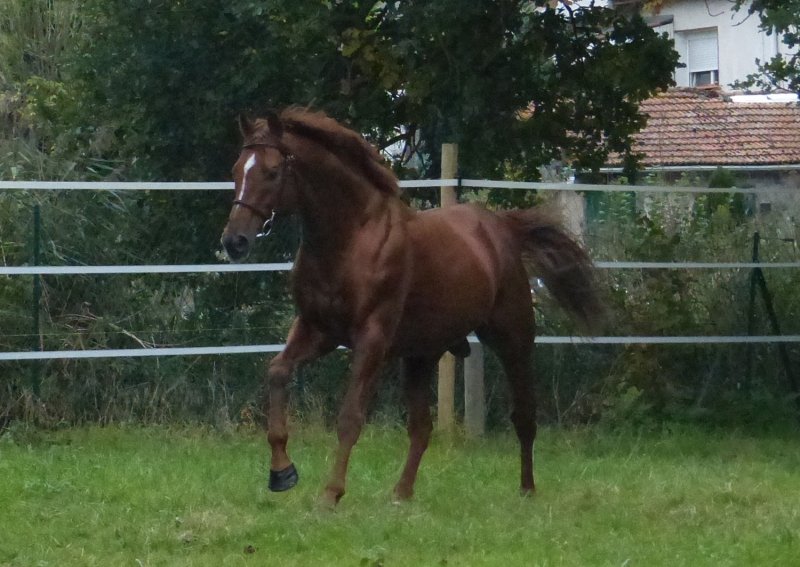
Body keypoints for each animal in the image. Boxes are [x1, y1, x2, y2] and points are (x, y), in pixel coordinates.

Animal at [221, 108, 602, 507]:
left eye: (272, 171)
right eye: (236, 169)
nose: (234, 242)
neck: (350, 239)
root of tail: (502, 227)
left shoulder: (371, 338)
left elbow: (350, 416)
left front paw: (330, 493)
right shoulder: (316, 330)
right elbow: (278, 372)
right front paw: (282, 473)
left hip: (513, 339)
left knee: (524, 416)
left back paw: (527, 489)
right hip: (421, 355)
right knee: (422, 427)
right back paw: (401, 495)